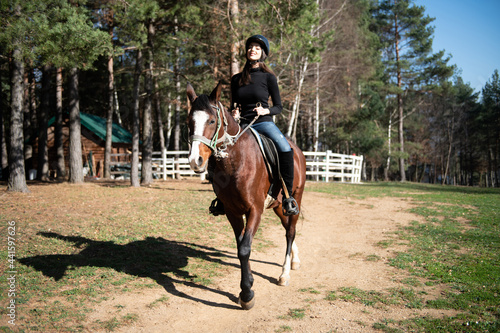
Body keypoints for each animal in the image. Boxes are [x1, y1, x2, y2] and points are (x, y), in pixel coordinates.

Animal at [187, 82, 306, 308]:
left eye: (212, 120)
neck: (236, 161)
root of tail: (296, 150)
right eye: (189, 121)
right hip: (278, 206)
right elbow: (240, 245)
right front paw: (247, 287)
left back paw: (284, 273)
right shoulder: (232, 212)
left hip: (295, 198)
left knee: (290, 231)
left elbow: (244, 248)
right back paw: (295, 260)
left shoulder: (255, 210)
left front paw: (247, 293)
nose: (195, 160)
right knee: (288, 228)